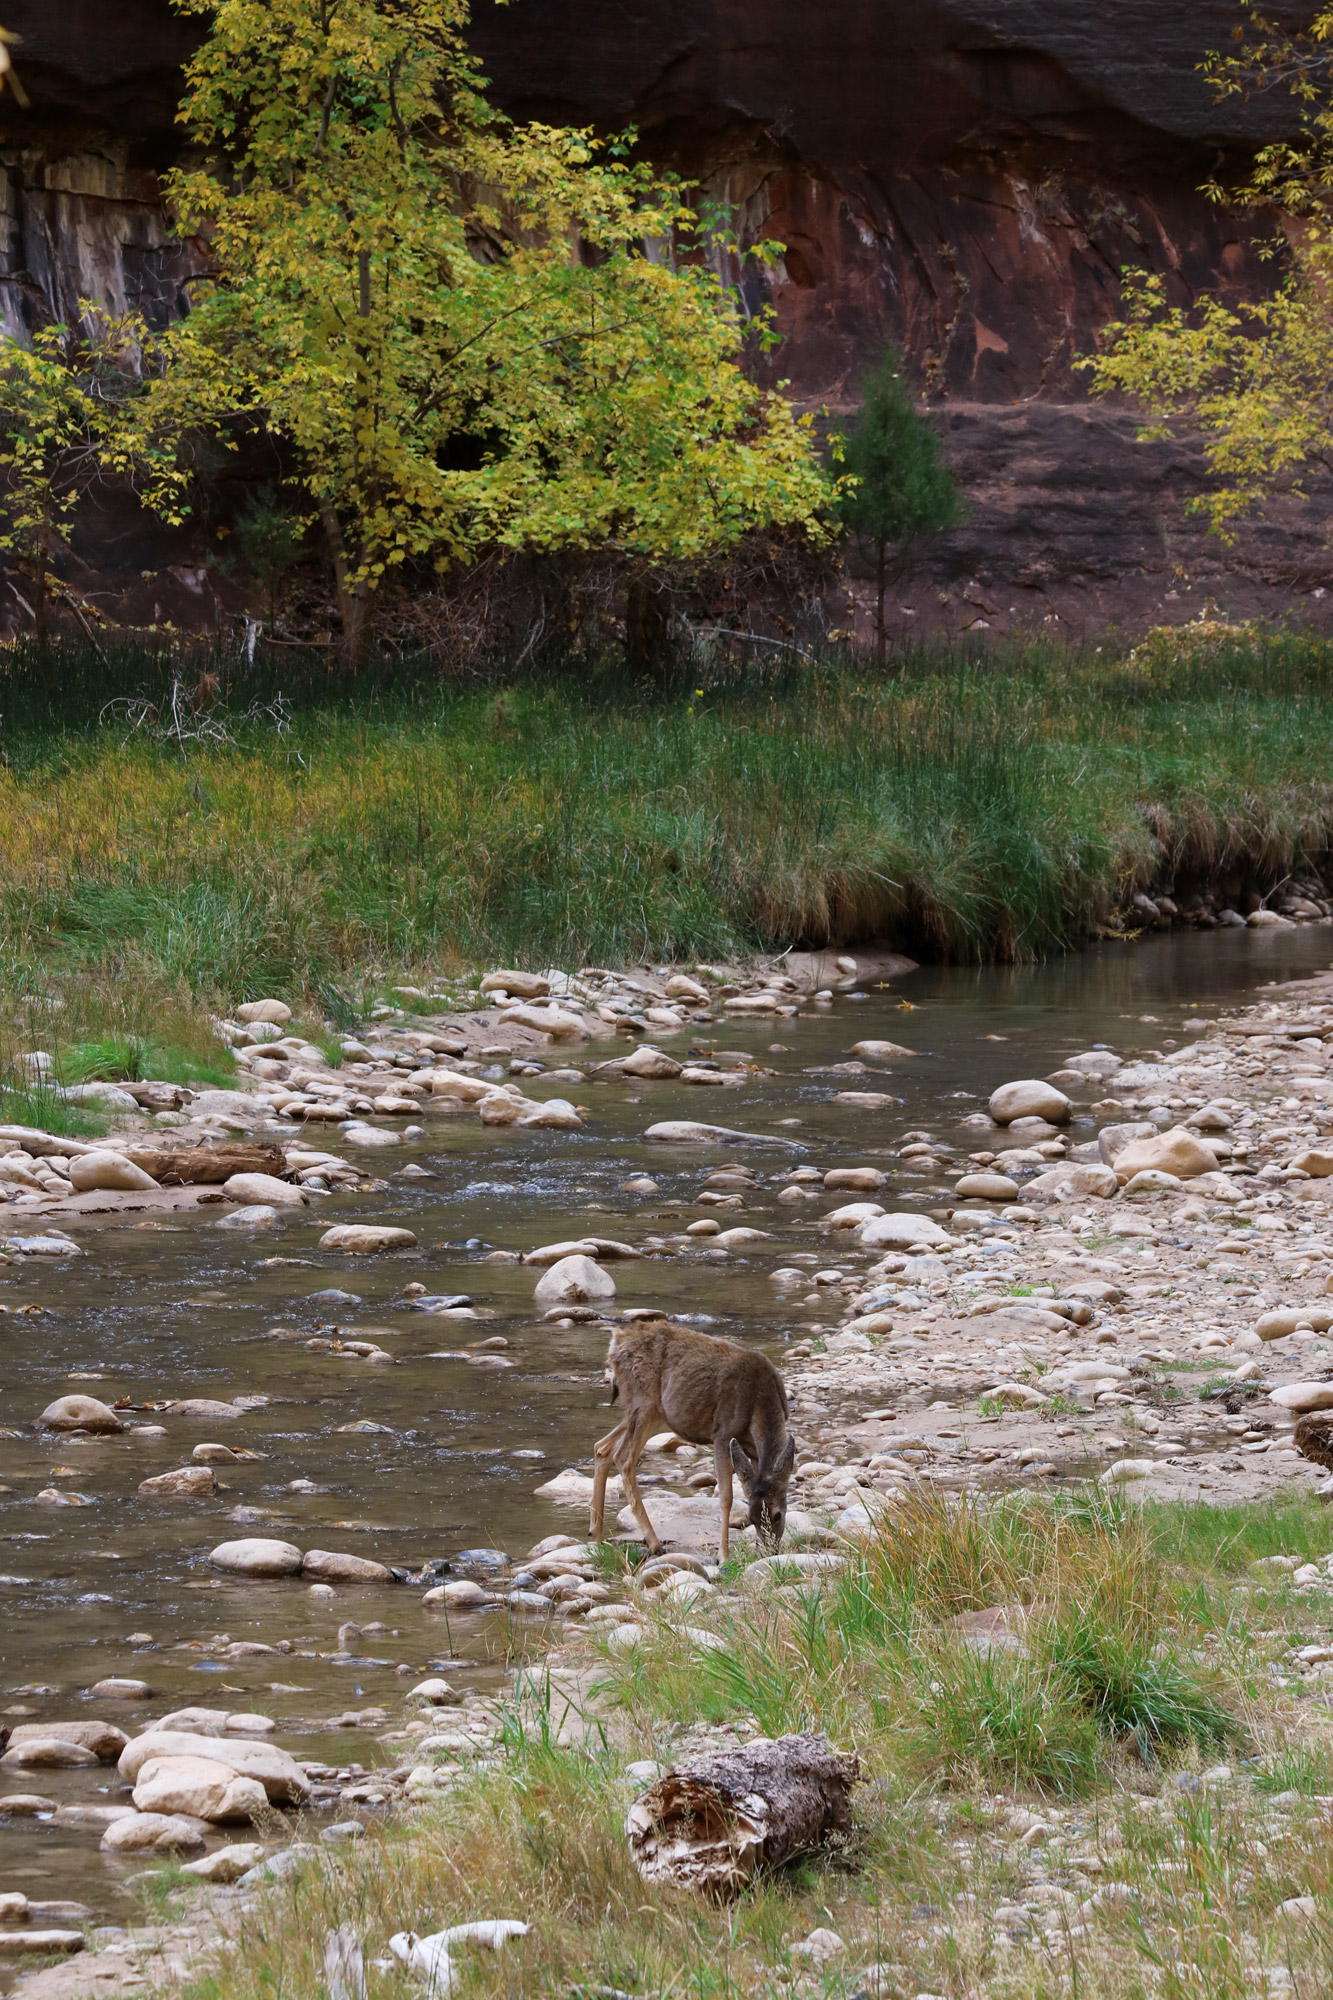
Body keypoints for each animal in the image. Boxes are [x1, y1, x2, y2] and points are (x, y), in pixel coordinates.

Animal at [588, 1320, 792, 1568]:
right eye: (750, 1518)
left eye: (777, 1515)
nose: (771, 1551)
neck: (760, 1401)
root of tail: (615, 1344)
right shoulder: (722, 1433)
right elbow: (726, 1497)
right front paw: (723, 1556)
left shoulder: (751, 1450)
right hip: (643, 1403)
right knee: (623, 1458)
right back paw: (654, 1543)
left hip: (647, 1411)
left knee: (602, 1448)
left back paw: (596, 1536)